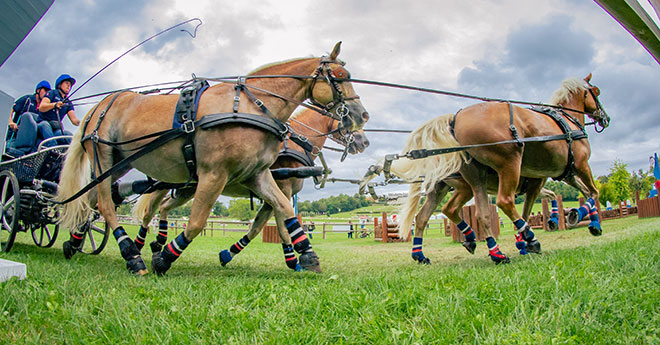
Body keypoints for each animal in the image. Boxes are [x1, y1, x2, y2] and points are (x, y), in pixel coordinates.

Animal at [131, 106, 368, 270]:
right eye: (347, 116)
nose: (364, 142)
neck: (297, 142)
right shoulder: (283, 190)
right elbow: (283, 227)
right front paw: (296, 261)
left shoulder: (271, 196)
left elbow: (256, 228)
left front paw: (227, 254)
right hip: (170, 184)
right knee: (150, 211)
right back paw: (139, 246)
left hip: (187, 188)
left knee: (164, 207)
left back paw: (157, 244)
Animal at [372, 74, 608, 264]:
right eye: (596, 92)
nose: (605, 118)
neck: (566, 122)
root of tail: (455, 120)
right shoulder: (575, 167)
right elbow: (593, 192)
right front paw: (574, 216)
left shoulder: (563, 173)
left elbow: (578, 192)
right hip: (507, 165)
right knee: (502, 202)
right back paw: (524, 240)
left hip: (461, 182)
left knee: (441, 214)